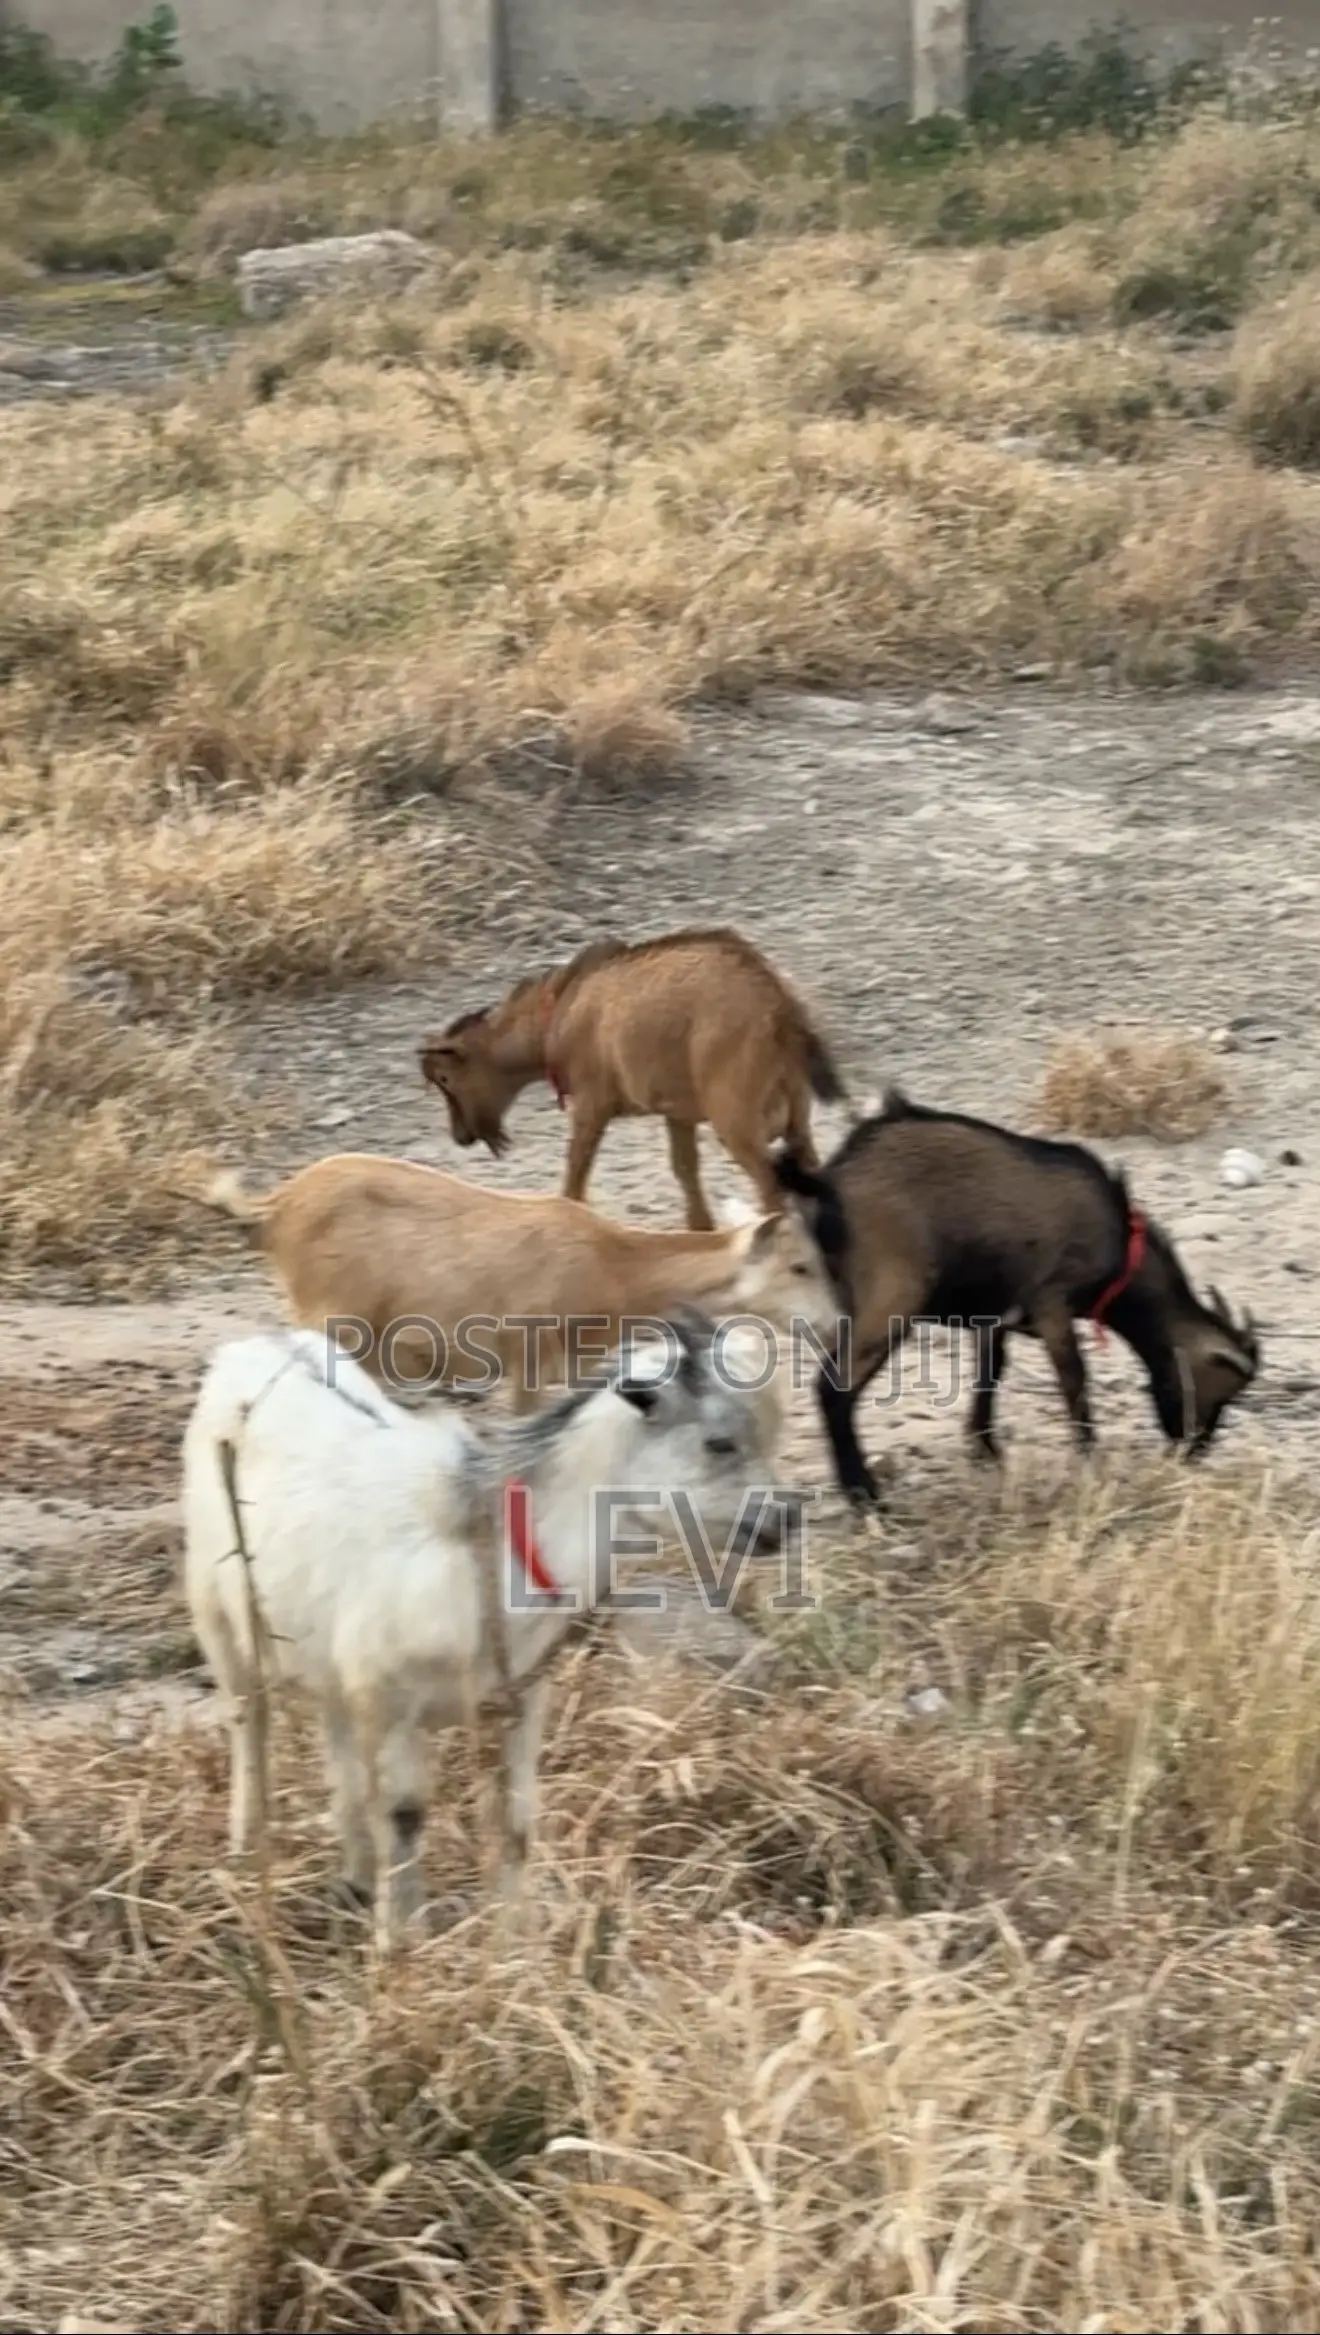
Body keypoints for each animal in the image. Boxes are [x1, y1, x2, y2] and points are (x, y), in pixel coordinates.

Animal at [181, 1307, 784, 1954]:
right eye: (719, 1442)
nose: (785, 1520)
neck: (490, 1547)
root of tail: (251, 1348)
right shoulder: (388, 1699)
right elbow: (403, 1816)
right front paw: (399, 1944)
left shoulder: (518, 1699)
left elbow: (514, 1820)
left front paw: (516, 1942)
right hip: (216, 1611)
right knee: (249, 1721)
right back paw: (247, 1853)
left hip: (329, 1666)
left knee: (337, 1750)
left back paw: (355, 1879)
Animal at [195, 1147, 844, 1420]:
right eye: (800, 1266)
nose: (836, 1320)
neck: (615, 1268)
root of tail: (277, 1208)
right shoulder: (528, 1361)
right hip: (328, 1317)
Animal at [418, 925, 852, 1230]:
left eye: (445, 1079)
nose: (461, 1136)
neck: (559, 1013)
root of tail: (777, 1002)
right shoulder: (678, 1112)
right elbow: (684, 1168)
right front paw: (700, 1229)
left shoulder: (592, 1102)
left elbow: (576, 1169)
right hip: (794, 1109)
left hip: (736, 1116)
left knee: (770, 1188)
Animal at [772, 1086, 1261, 1510]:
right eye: (1219, 1389)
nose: (1192, 1449)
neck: (1122, 1247)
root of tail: (828, 1183)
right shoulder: (1052, 1303)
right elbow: (1074, 1378)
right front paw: (1089, 1456)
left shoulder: (995, 1319)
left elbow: (991, 1374)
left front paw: (985, 1449)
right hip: (893, 1298)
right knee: (834, 1387)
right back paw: (865, 1495)